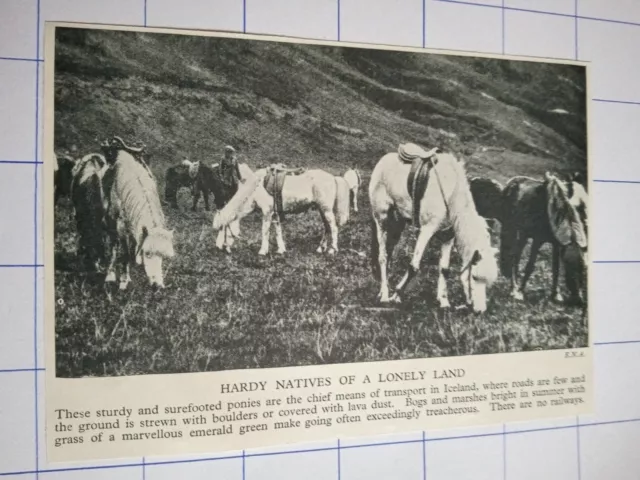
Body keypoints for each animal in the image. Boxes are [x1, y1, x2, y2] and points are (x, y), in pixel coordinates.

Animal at [211, 165, 350, 255]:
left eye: (222, 228)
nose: (218, 247)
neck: (255, 188)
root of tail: (333, 178)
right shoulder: (275, 214)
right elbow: (278, 231)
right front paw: (281, 249)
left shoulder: (267, 212)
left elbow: (265, 231)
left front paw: (263, 251)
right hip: (322, 210)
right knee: (326, 227)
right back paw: (321, 248)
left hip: (326, 210)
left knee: (333, 227)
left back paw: (332, 249)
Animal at [368, 144, 498, 314]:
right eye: (474, 277)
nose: (479, 311)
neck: (451, 194)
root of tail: (384, 160)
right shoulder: (426, 230)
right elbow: (414, 266)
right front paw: (396, 296)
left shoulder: (448, 237)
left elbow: (444, 269)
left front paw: (444, 301)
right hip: (382, 217)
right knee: (382, 256)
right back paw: (384, 294)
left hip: (399, 221)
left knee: (389, 251)